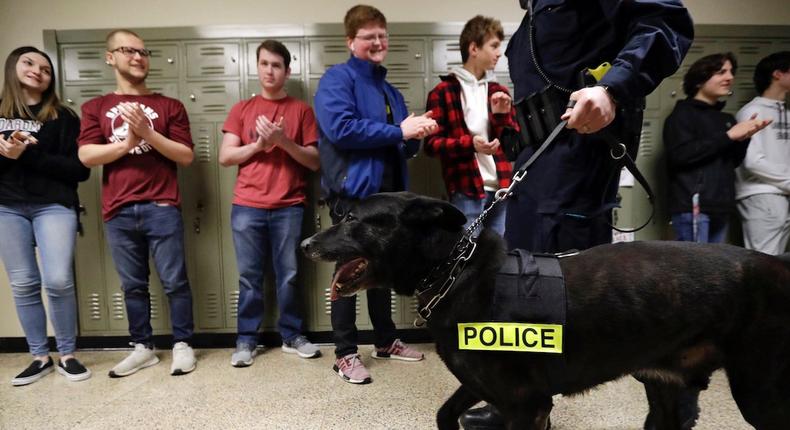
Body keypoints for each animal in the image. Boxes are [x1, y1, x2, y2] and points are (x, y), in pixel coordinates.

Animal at [302, 192, 790, 430]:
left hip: (761, 396)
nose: (305, 244)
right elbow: (444, 415)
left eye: (353, 219)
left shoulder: (526, 404)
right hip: (663, 387)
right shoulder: (482, 386)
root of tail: (779, 265)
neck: (457, 271)